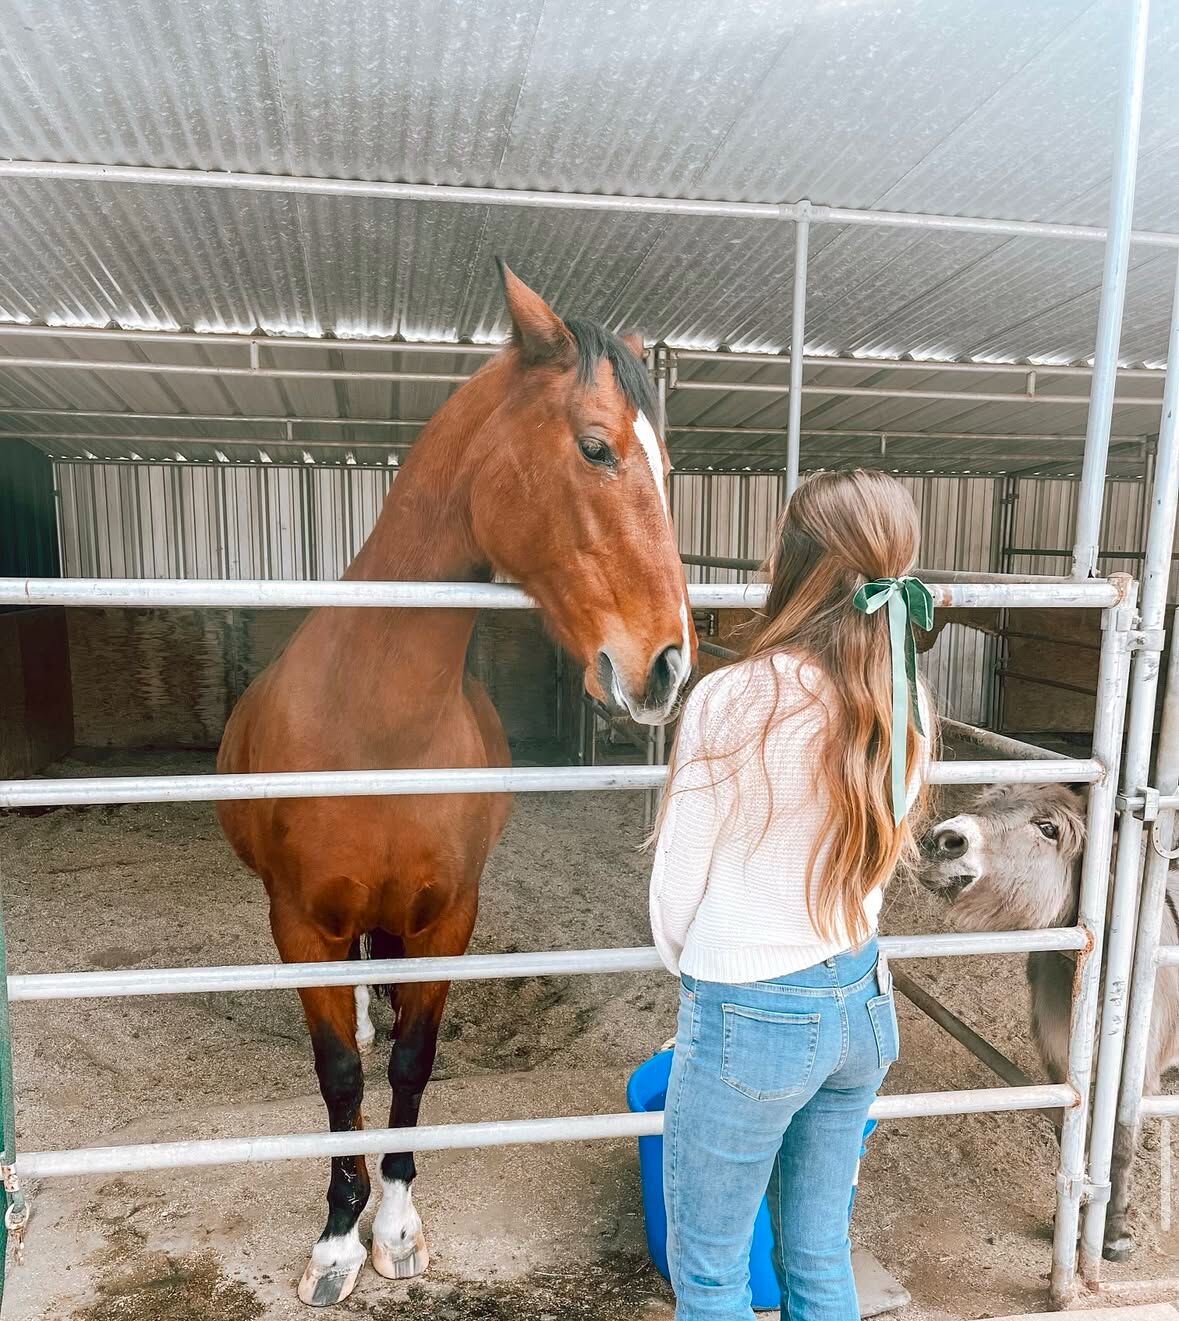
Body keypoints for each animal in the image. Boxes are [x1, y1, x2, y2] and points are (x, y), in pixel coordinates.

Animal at [215, 262, 695, 1306]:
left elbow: (412, 1061)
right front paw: (336, 1238)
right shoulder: (299, 922)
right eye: (595, 446)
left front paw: (394, 1224)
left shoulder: (449, 915)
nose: (667, 664)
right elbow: (341, 1075)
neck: (378, 726)